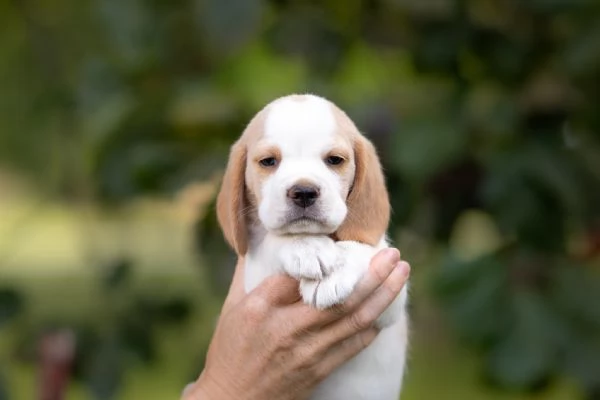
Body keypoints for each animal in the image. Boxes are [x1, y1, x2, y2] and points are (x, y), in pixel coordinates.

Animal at [216, 94, 408, 400]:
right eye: (268, 161)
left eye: (335, 160)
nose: (304, 192)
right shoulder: (254, 275)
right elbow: (274, 239)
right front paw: (307, 248)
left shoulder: (392, 296)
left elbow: (360, 250)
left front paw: (333, 274)